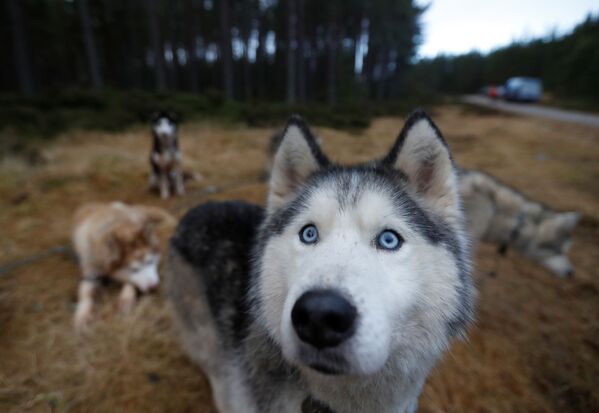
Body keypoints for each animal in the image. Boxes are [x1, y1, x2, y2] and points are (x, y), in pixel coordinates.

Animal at [72, 201, 175, 330]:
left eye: (150, 261)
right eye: (134, 269)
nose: (154, 287)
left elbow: (129, 283)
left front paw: (126, 298)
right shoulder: (90, 270)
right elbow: (85, 292)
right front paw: (82, 315)